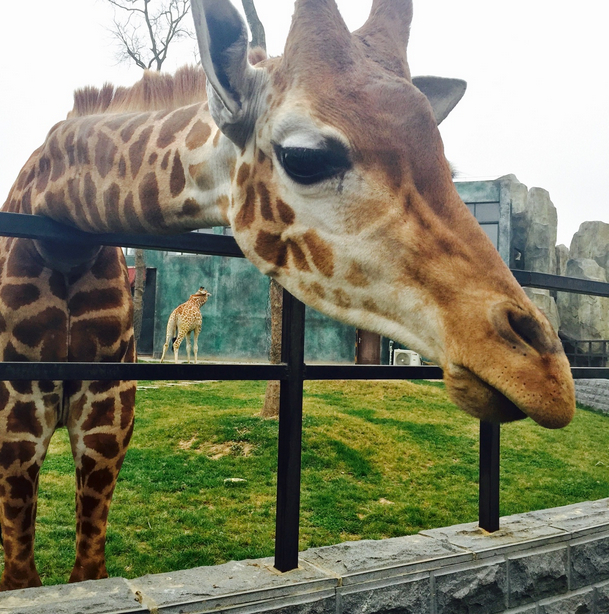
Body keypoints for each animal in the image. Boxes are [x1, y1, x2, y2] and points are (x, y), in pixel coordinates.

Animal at [0, 0, 576, 596]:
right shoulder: (16, 427)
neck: (62, 235)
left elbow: (88, 568)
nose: (548, 377)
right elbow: (22, 575)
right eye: (304, 156)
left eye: (443, 160)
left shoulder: (108, 419)